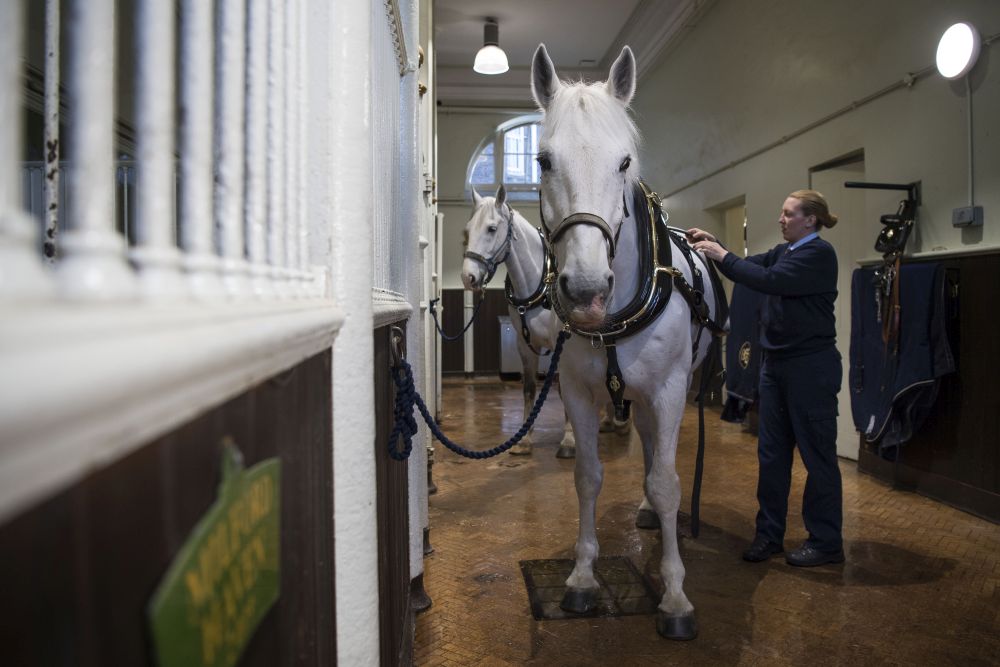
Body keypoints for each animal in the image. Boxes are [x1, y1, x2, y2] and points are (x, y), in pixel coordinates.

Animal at [462, 188, 580, 460]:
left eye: (492, 228)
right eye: (468, 229)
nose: (467, 276)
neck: (540, 283)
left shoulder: (562, 344)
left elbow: (564, 389)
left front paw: (569, 440)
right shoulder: (524, 344)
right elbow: (528, 389)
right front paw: (525, 439)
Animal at [536, 44, 724, 640]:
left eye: (623, 162)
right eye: (542, 161)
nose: (586, 291)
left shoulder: (668, 390)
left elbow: (667, 483)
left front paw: (676, 596)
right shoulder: (576, 390)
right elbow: (588, 476)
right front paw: (581, 576)